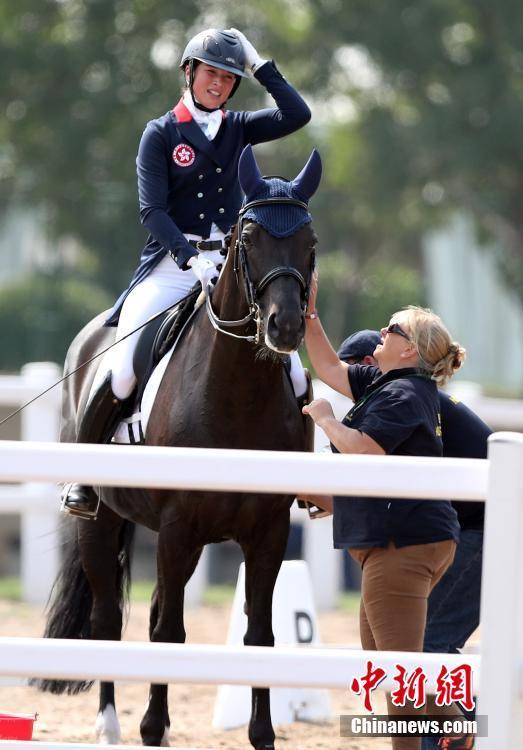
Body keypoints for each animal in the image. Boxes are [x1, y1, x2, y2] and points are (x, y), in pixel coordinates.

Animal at [36, 144, 322, 748]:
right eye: (247, 238)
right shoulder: (178, 529)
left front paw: (262, 733)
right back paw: (112, 725)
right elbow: (168, 633)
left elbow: (260, 637)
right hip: (103, 523)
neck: (236, 393)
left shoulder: (268, 533)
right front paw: (149, 726)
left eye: (310, 243)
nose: (284, 327)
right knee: (107, 621)